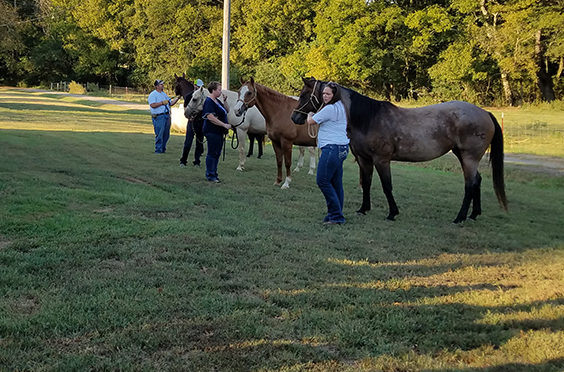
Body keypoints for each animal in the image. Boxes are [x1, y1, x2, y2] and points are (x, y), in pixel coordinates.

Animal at [186, 85, 316, 176]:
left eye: (194, 99)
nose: (186, 113)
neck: (233, 105)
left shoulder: (241, 130)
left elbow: (241, 148)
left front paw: (240, 166)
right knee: (303, 150)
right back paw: (298, 168)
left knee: (311, 150)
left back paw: (311, 170)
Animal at [290, 77, 506, 224]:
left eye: (304, 95)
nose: (294, 118)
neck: (368, 119)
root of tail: (484, 113)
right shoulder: (364, 159)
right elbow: (366, 184)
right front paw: (363, 209)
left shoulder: (381, 160)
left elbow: (387, 186)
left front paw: (392, 213)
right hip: (464, 156)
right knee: (477, 181)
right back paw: (474, 214)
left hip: (469, 157)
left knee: (470, 185)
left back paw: (459, 217)